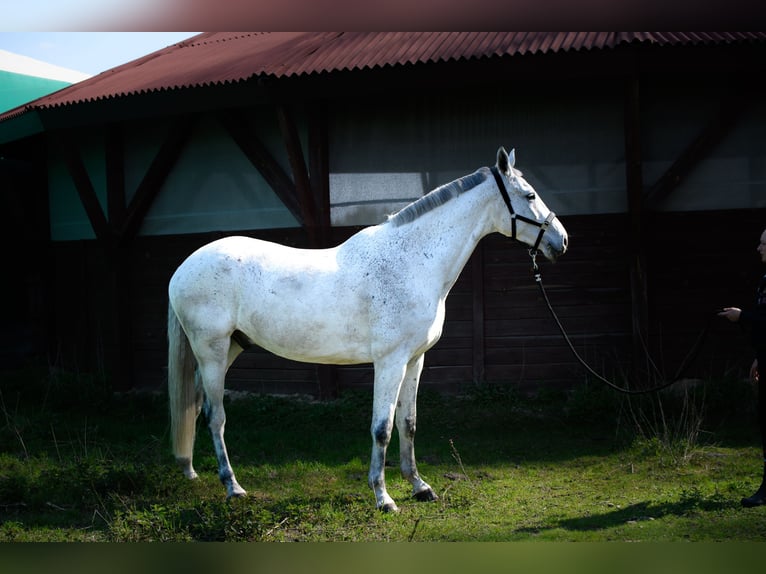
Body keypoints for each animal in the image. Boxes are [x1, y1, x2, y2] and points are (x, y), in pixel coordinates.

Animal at [167, 146, 568, 512]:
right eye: (530, 196)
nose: (561, 241)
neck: (410, 261)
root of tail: (184, 268)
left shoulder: (414, 360)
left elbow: (408, 422)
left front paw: (419, 486)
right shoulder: (389, 363)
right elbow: (383, 428)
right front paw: (383, 497)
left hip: (230, 349)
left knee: (197, 406)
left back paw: (192, 470)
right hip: (212, 352)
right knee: (216, 416)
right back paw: (233, 487)